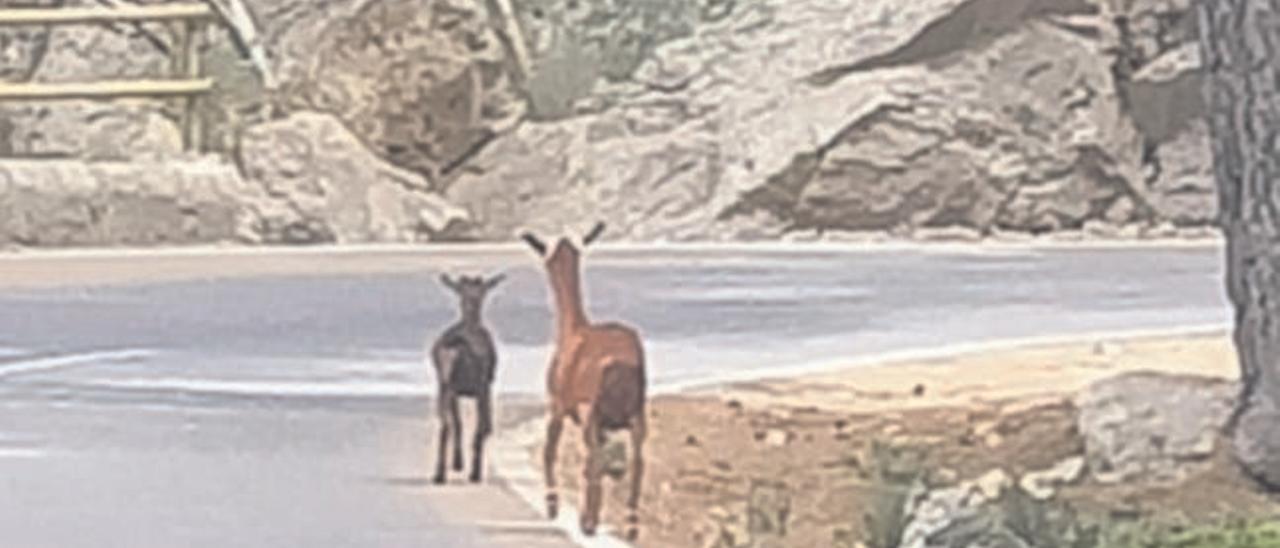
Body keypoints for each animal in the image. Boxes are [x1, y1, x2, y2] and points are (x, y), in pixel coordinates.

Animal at [519, 222, 645, 540]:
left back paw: (588, 522)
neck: (572, 330)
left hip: (592, 410)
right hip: (637, 412)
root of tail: (622, 366)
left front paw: (552, 504)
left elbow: (549, 451)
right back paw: (630, 524)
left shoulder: (557, 404)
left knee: (595, 459)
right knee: (637, 462)